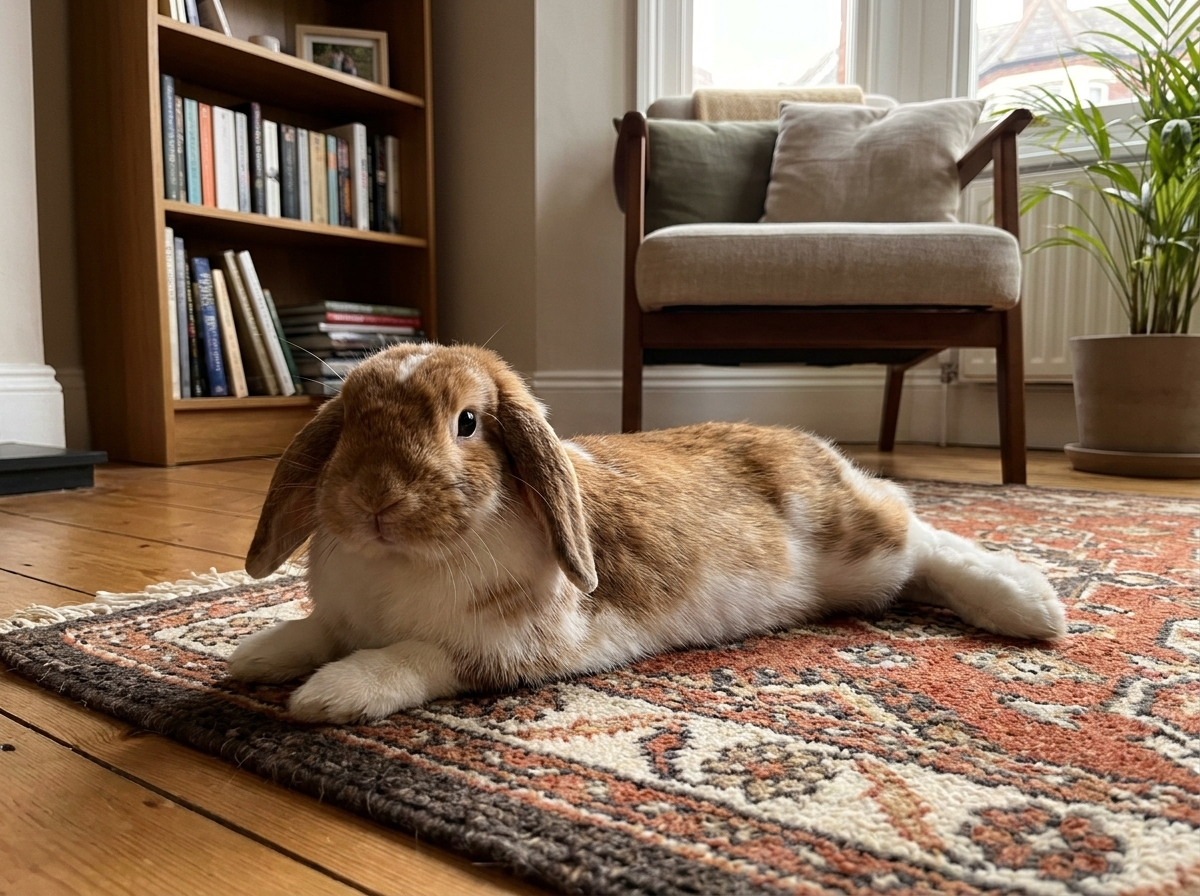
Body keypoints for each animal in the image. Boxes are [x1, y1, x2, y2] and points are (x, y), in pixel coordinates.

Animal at [227, 343, 1066, 724]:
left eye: (467, 422)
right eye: (346, 427)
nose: (376, 500)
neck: (401, 561)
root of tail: (815, 449)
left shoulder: (504, 648)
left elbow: (413, 657)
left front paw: (331, 695)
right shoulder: (347, 615)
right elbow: (319, 629)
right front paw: (257, 654)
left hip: (863, 548)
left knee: (921, 532)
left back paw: (1031, 603)